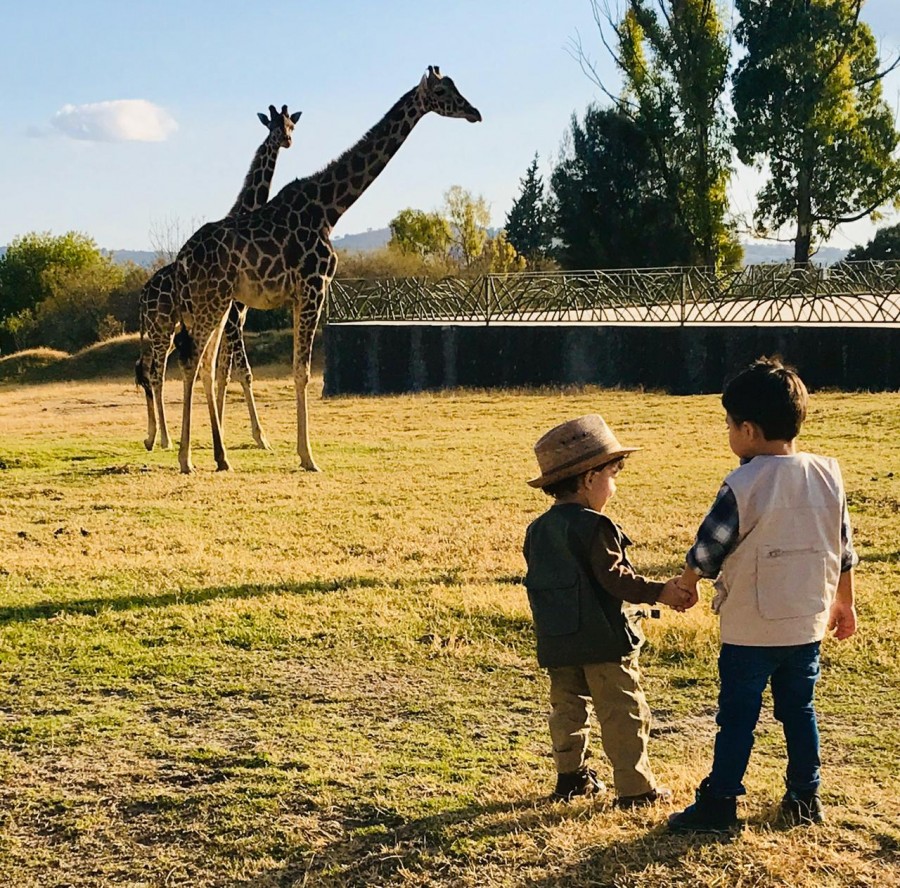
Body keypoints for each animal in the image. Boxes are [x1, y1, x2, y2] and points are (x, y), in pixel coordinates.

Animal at [135, 104, 300, 450]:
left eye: (291, 124)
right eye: (273, 126)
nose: (287, 140)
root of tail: (142, 296)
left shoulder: (236, 318)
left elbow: (221, 371)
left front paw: (221, 431)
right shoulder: (235, 315)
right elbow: (243, 372)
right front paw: (260, 437)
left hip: (166, 331)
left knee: (148, 369)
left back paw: (152, 436)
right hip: (160, 328)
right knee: (155, 373)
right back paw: (164, 438)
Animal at [169, 66, 478, 476]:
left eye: (456, 86)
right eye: (443, 91)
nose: (475, 112)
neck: (331, 207)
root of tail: (183, 258)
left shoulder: (298, 294)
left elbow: (292, 370)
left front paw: (294, 450)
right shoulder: (314, 285)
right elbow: (302, 371)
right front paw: (308, 457)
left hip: (216, 303)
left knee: (203, 364)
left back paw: (219, 457)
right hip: (213, 300)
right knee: (192, 361)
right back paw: (186, 459)